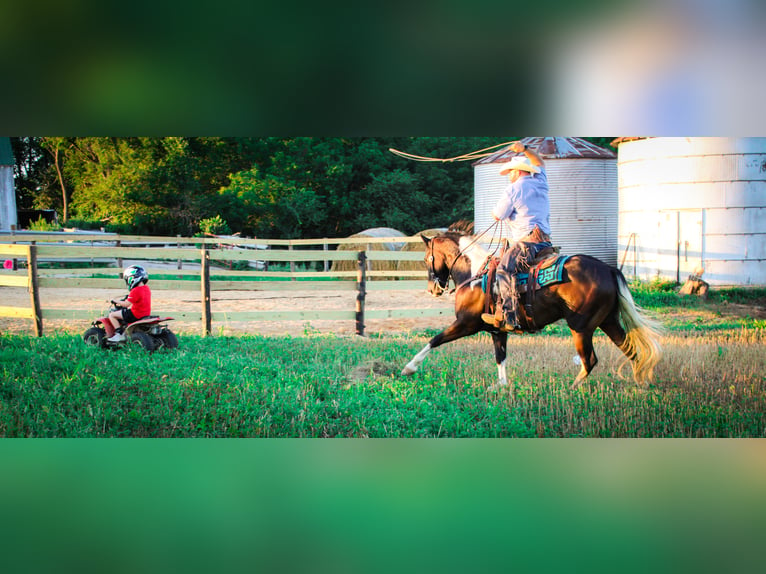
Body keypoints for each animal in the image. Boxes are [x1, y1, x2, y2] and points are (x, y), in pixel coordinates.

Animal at [402, 232, 664, 390]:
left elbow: (435, 339)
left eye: (426, 258)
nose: (432, 289)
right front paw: (501, 386)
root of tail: (608, 269)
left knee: (589, 359)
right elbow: (500, 357)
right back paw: (641, 384)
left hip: (581, 327)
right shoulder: (498, 331)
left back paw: (571, 388)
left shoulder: (466, 324)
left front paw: (409, 367)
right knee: (632, 351)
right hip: (608, 321)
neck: (475, 275)